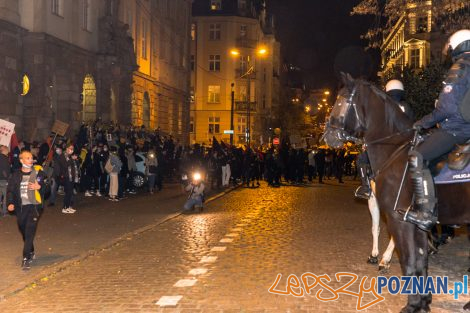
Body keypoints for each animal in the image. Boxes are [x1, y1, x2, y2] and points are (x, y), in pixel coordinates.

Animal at [324, 73, 470, 312]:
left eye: (340, 101)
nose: (327, 136)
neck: (394, 150)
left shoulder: (398, 218)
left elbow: (408, 261)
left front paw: (412, 304)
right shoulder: (415, 223)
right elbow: (420, 261)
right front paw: (424, 302)